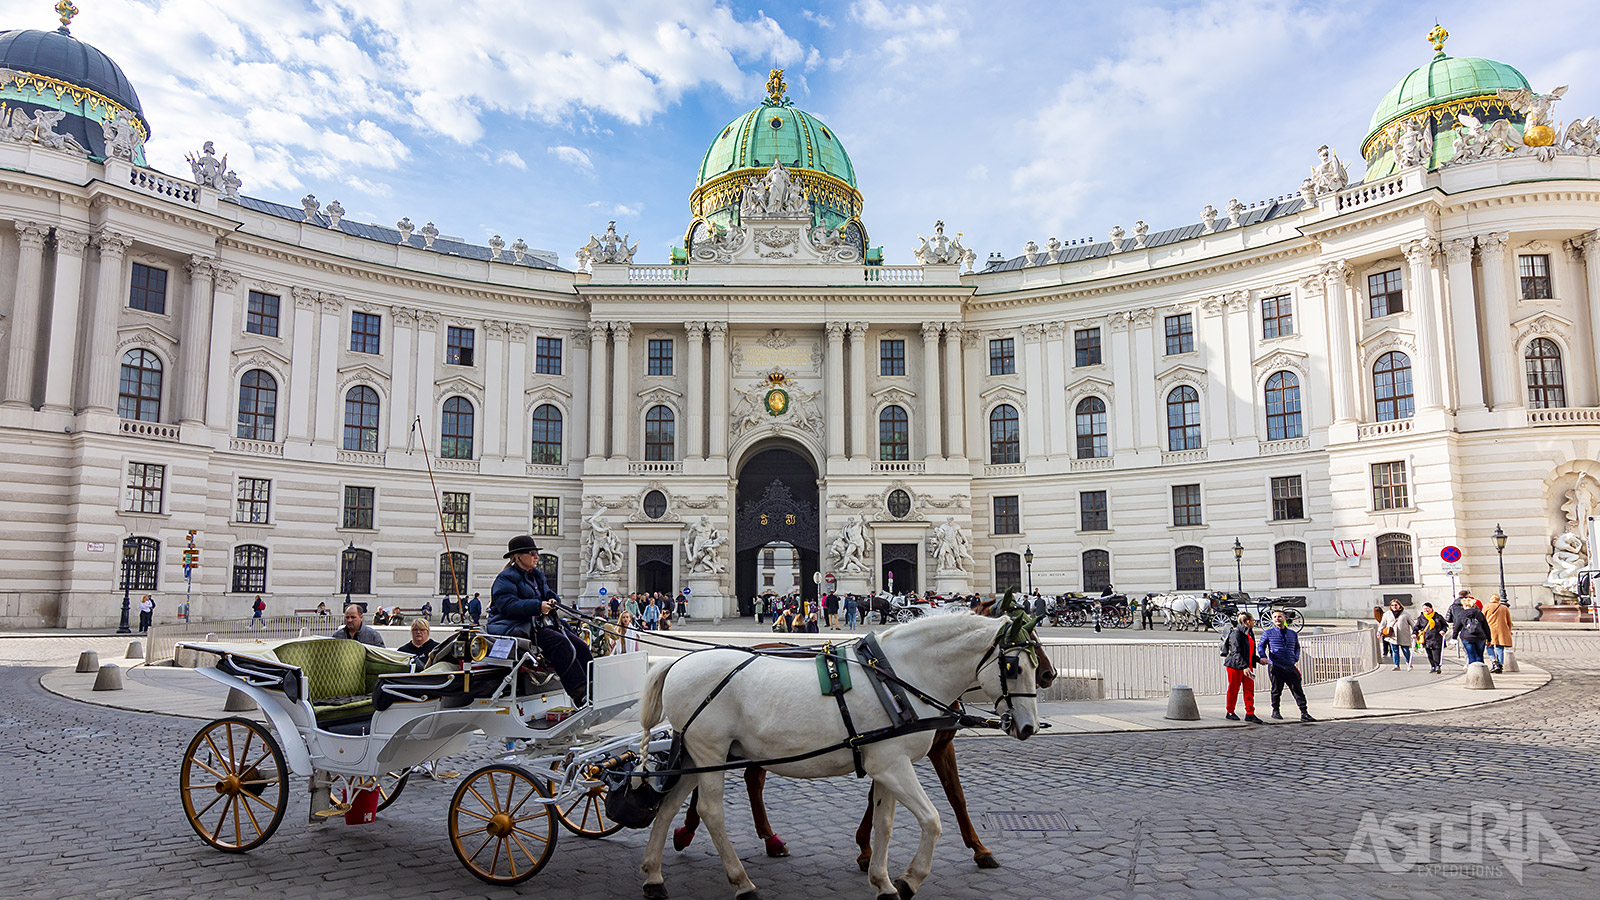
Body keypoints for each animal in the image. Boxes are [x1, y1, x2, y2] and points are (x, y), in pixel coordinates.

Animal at [636, 605, 1049, 890]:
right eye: (1013, 667)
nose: (1029, 726)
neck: (900, 678)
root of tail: (676, 663)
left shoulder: (887, 763)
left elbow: (885, 823)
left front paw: (881, 880)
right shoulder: (893, 765)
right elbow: (932, 820)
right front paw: (909, 879)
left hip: (695, 755)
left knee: (669, 805)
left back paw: (654, 875)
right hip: (710, 752)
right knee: (711, 811)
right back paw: (741, 881)